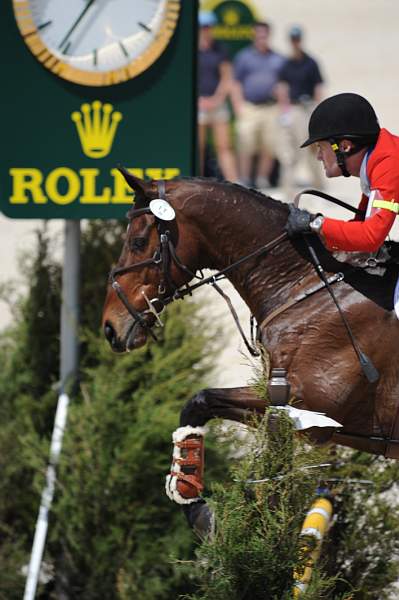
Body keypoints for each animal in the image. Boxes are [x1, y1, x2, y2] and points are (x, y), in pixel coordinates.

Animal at [101, 171, 399, 536]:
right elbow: (200, 402)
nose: (110, 327)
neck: (304, 283)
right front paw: (193, 498)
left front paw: (204, 513)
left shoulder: (313, 408)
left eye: (139, 241)